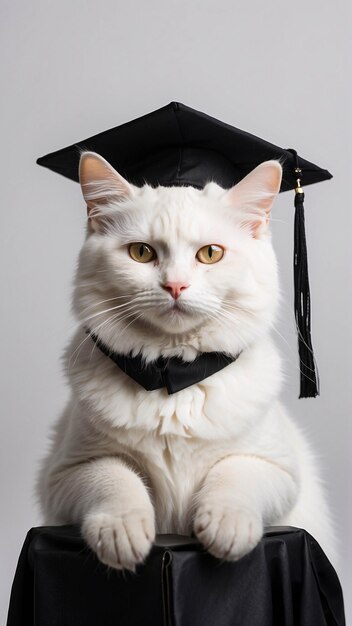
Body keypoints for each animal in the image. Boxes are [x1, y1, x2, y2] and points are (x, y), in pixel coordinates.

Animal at [36, 152, 336, 572]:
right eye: (141, 253)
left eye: (210, 254)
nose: (175, 286)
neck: (172, 375)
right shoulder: (65, 473)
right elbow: (114, 477)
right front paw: (123, 532)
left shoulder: (280, 470)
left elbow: (235, 473)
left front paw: (226, 527)